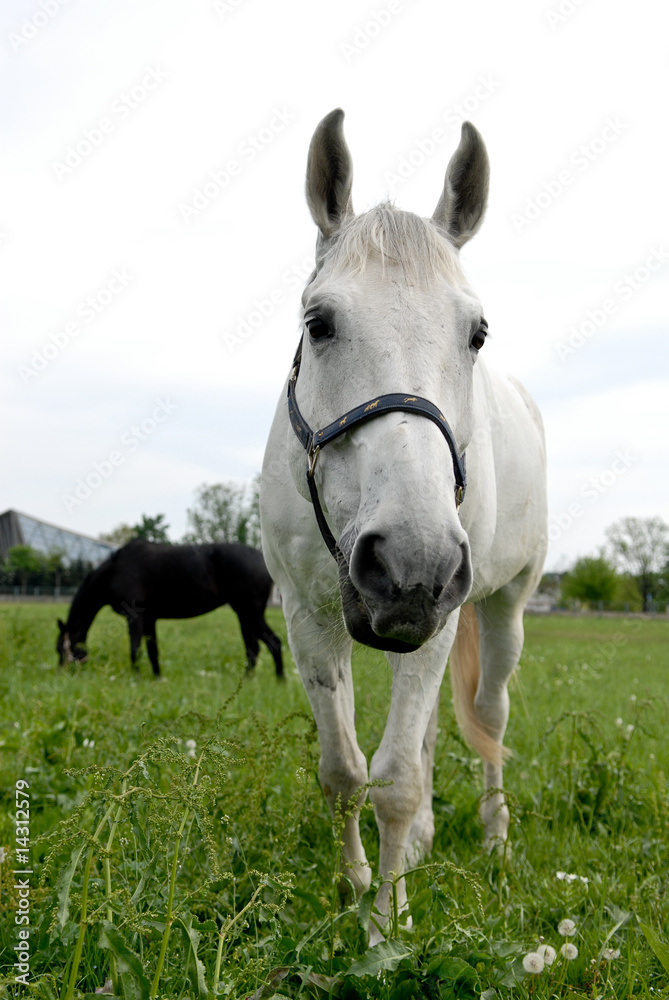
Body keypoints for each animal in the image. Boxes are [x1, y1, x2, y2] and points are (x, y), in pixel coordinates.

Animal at [56, 539, 283, 678]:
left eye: (60, 648)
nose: (63, 674)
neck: (115, 571)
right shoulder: (149, 619)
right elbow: (152, 650)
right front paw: (157, 678)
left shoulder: (134, 617)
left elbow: (135, 649)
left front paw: (136, 679)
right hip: (243, 614)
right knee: (253, 648)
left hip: (251, 613)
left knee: (273, 643)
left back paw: (279, 683)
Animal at [260, 109, 547, 939]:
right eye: (318, 322)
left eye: (476, 332)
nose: (412, 562)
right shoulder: (309, 613)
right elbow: (344, 771)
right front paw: (355, 884)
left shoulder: (440, 612)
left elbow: (394, 781)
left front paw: (387, 925)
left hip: (501, 606)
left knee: (489, 718)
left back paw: (493, 840)